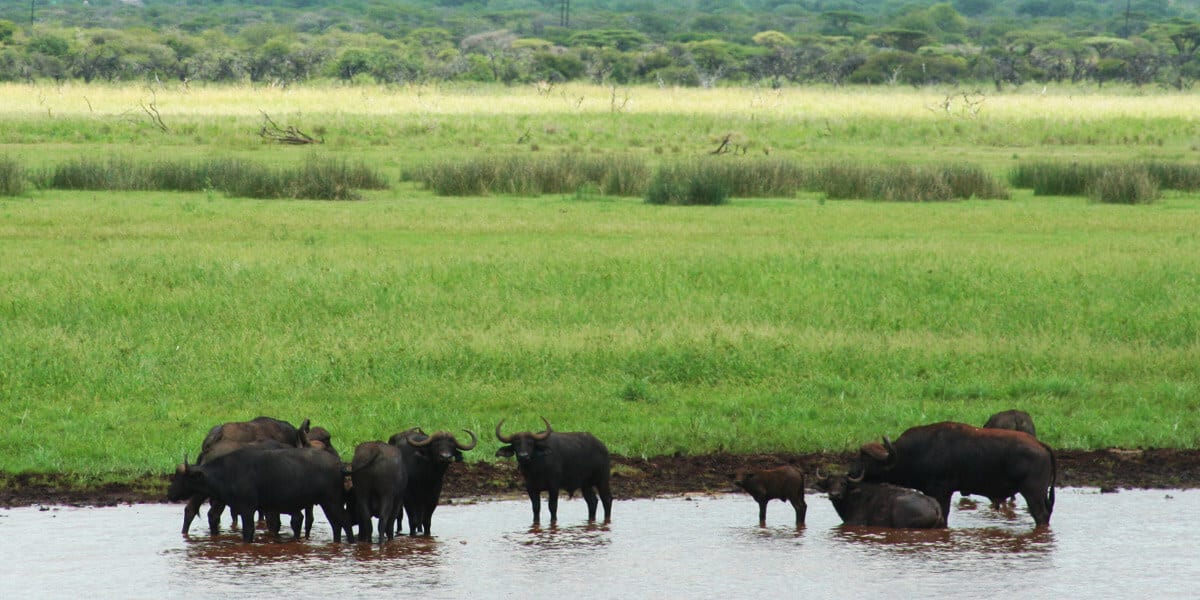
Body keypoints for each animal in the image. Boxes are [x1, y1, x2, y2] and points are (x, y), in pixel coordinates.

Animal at [168, 444, 353, 543]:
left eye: (181, 477)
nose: (169, 493)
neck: (226, 473)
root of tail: (339, 465)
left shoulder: (247, 508)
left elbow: (248, 531)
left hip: (332, 501)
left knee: (344, 521)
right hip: (326, 502)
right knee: (336, 524)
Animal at [848, 421, 1056, 526]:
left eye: (864, 459)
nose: (850, 473)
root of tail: (1040, 445)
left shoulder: (941, 491)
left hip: (1033, 493)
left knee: (1040, 515)